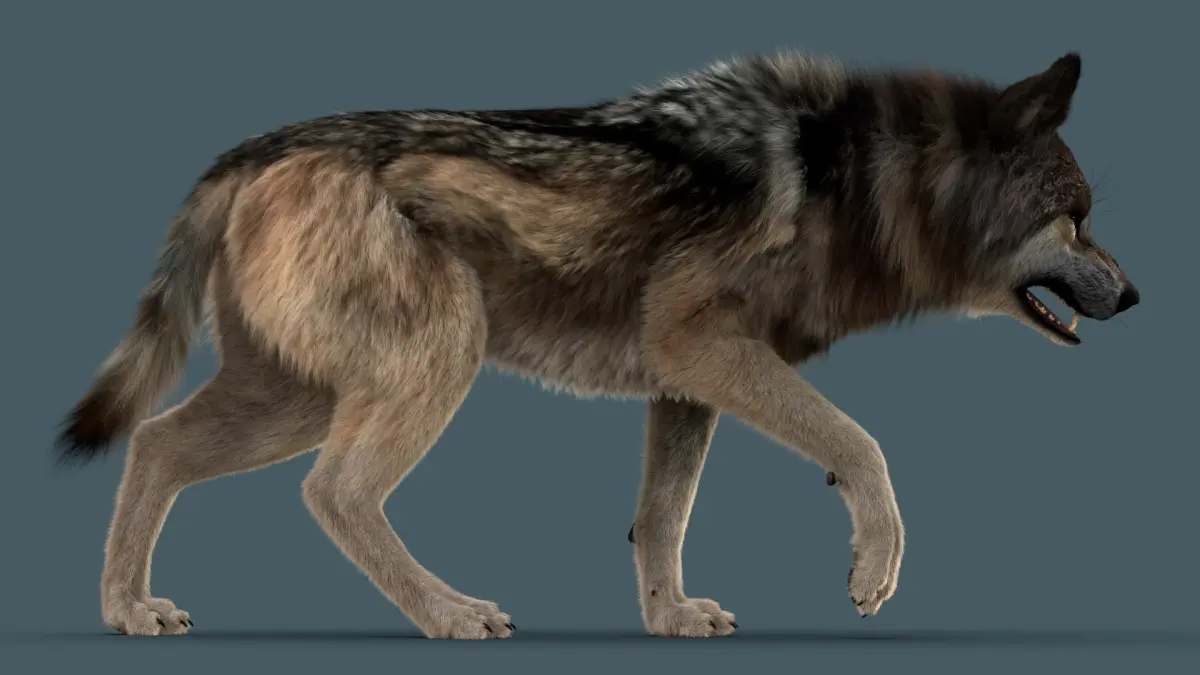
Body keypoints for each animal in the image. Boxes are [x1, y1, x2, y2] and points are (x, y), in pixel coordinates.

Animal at [57, 50, 1139, 639]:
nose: (1135, 294)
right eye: (1079, 217)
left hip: (299, 398)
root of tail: (256, 150)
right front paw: (876, 567)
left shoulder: (686, 383)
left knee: (155, 444)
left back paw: (128, 611)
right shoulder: (705, 348)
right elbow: (862, 446)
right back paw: (448, 613)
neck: (861, 181)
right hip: (426, 368)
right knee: (334, 493)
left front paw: (669, 620)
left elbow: (659, 522)